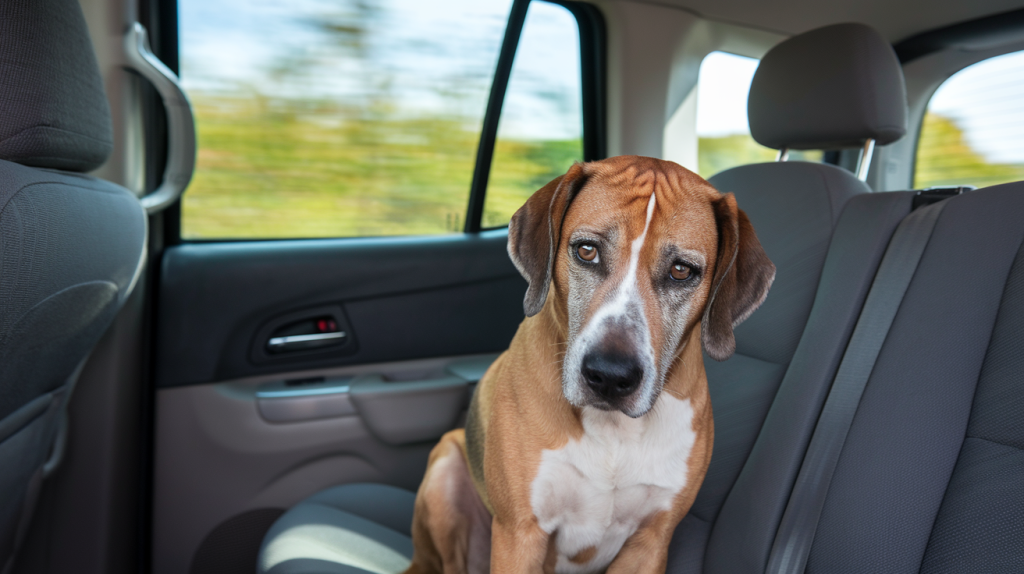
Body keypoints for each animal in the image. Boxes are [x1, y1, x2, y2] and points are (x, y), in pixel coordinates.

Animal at [403, 155, 770, 572]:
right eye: (587, 251)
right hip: (446, 467)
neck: (613, 434)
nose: (610, 377)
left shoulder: (650, 543)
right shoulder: (520, 533)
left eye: (682, 271)